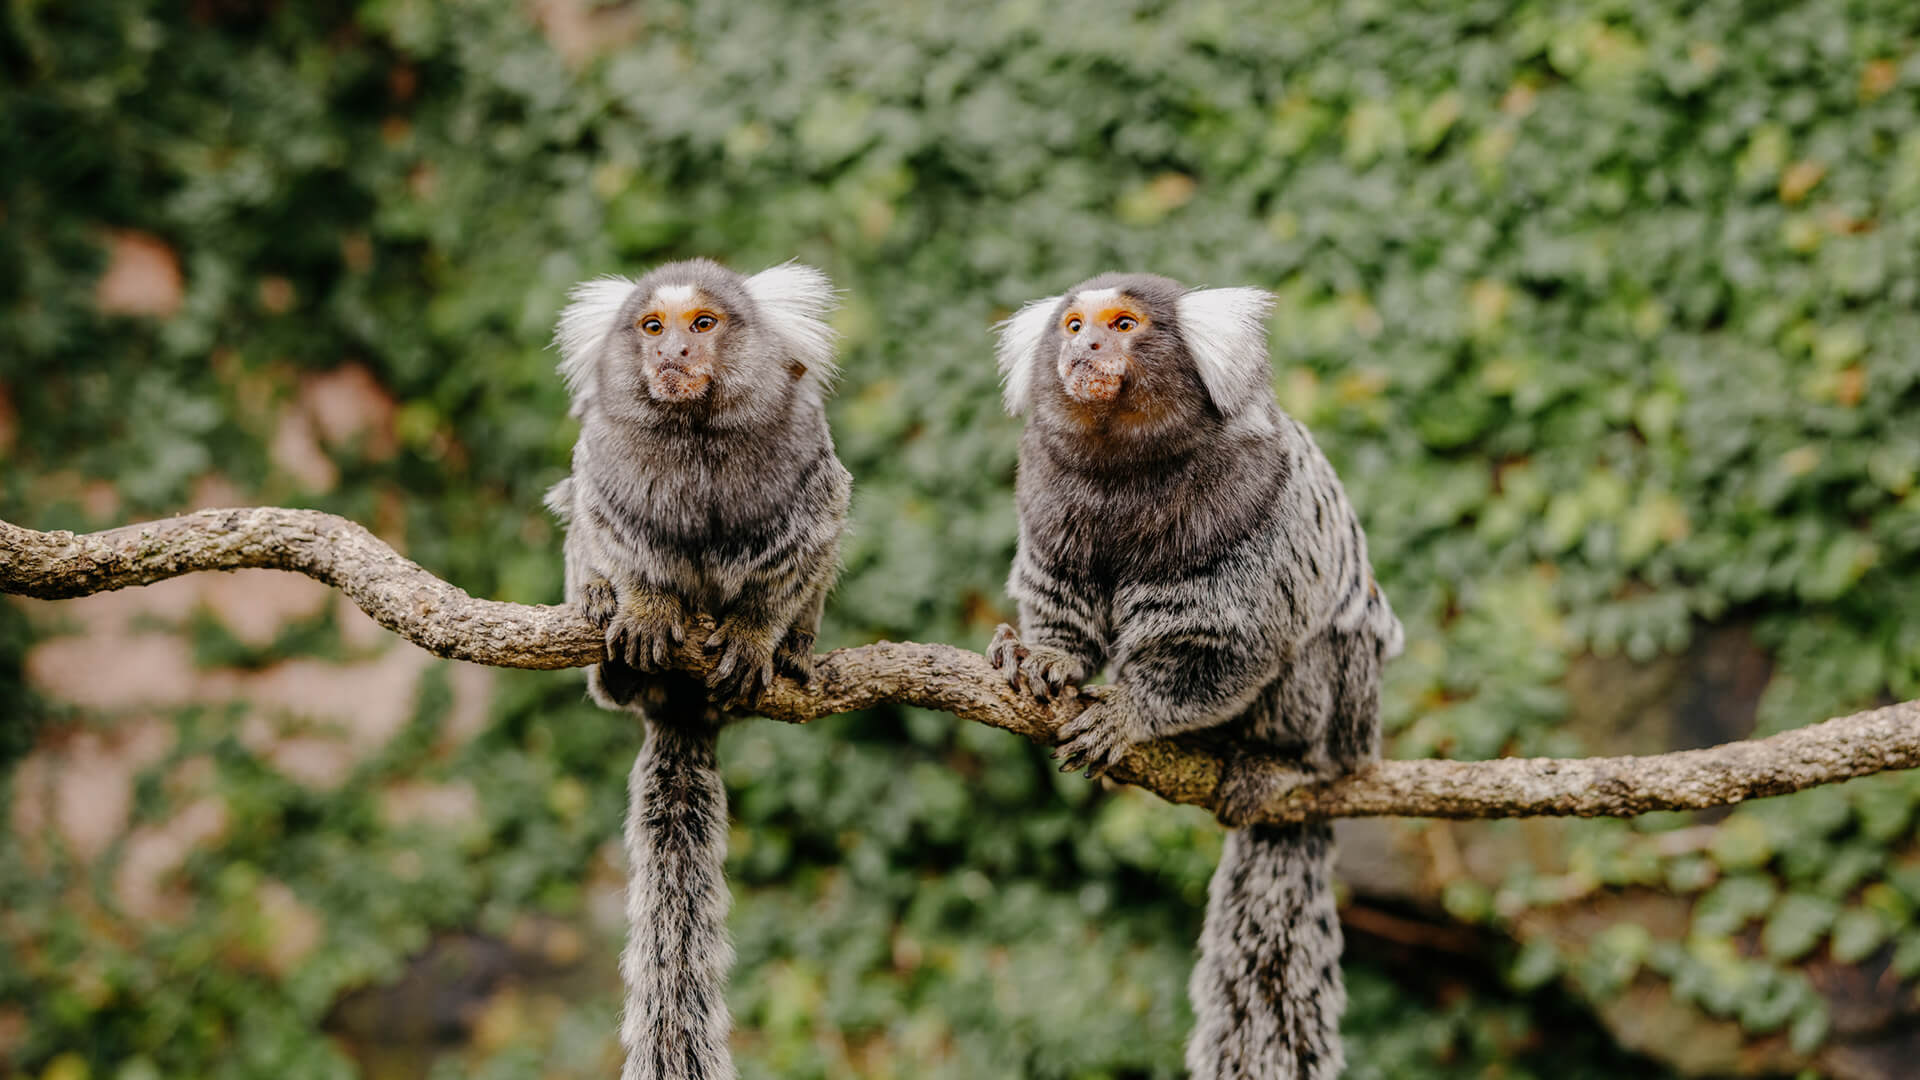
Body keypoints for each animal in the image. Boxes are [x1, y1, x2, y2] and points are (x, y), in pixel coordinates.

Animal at [545, 258, 850, 1080]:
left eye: (703, 324)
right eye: (653, 327)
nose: (674, 353)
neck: (697, 442)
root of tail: (680, 707)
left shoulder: (811, 485)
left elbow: (798, 555)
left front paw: (756, 634)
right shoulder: (607, 475)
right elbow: (608, 526)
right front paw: (642, 607)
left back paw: (793, 652)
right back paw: (606, 635)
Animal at [986, 273, 1402, 1080]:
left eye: (1122, 325)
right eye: (1074, 325)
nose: (1086, 346)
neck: (1124, 472)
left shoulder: (1252, 507)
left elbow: (1236, 647)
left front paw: (1129, 713)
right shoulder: (1049, 494)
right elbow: (1061, 604)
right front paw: (1045, 658)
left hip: (1351, 717)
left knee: (1317, 652)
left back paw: (1282, 762)